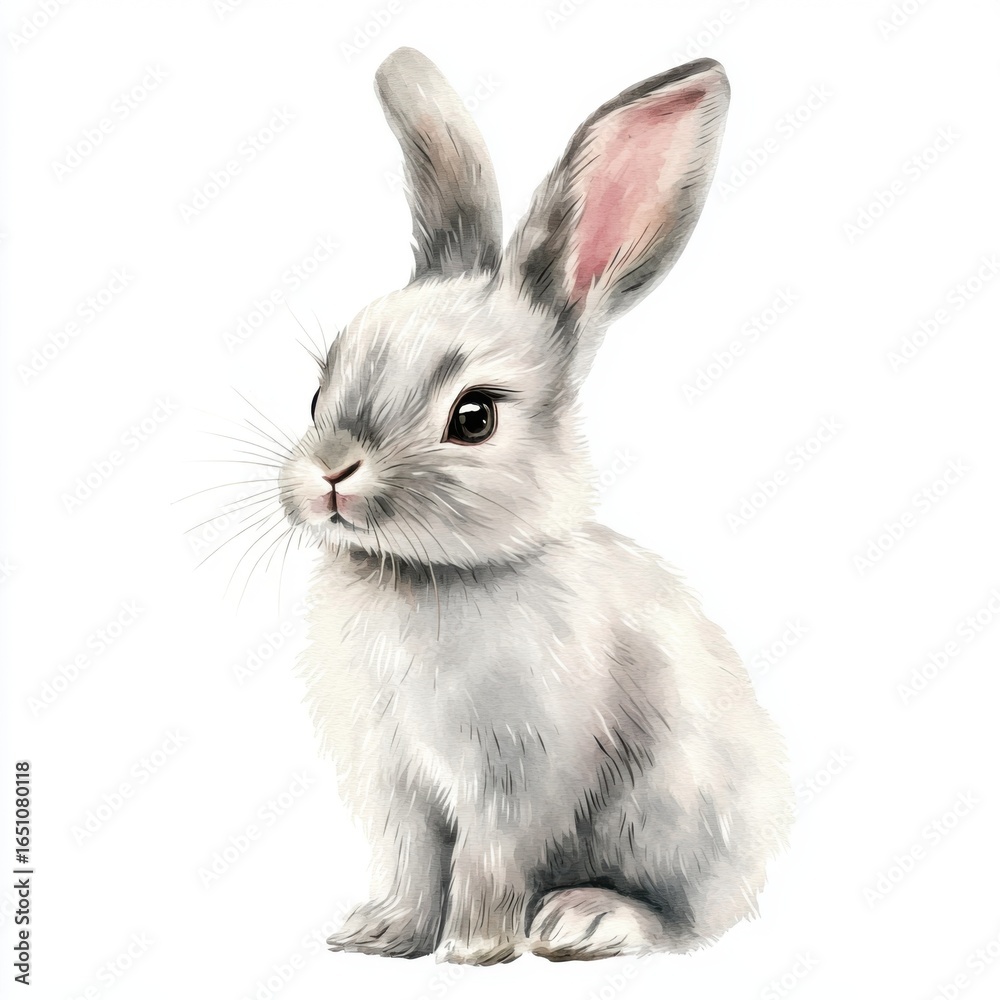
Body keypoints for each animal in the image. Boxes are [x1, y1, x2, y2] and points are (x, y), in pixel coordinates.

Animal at [277, 47, 793, 965]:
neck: (424, 576)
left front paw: (474, 948)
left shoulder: (516, 778)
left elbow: (486, 860)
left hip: (676, 816)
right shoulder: (397, 785)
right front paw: (382, 935)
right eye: (315, 396)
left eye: (474, 417)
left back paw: (583, 919)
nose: (332, 474)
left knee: (683, 919)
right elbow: (412, 861)